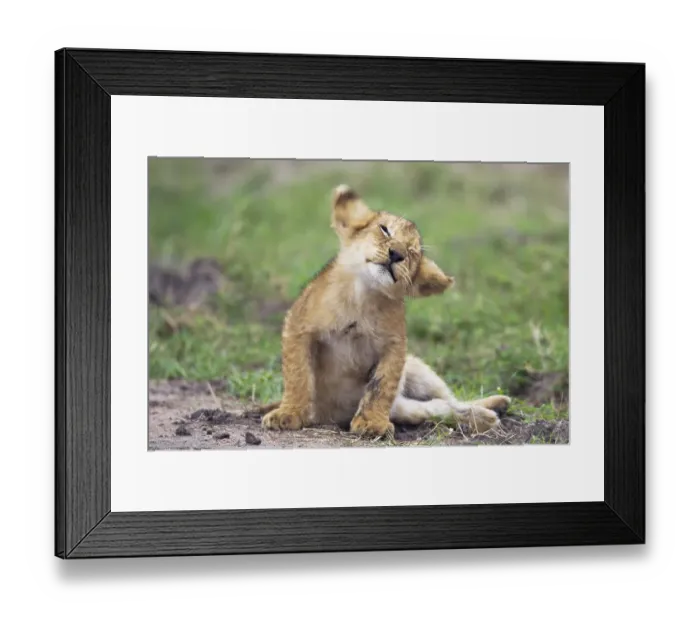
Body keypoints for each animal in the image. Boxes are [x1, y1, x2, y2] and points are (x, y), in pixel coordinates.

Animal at [258, 185, 511, 439]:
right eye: (385, 230)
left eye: (412, 252)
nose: (396, 254)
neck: (361, 295)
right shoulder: (298, 326)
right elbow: (297, 376)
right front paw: (288, 414)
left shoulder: (394, 345)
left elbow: (381, 385)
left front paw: (371, 423)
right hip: (410, 399)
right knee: (434, 408)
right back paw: (487, 416)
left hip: (419, 371)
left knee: (447, 400)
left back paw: (495, 406)